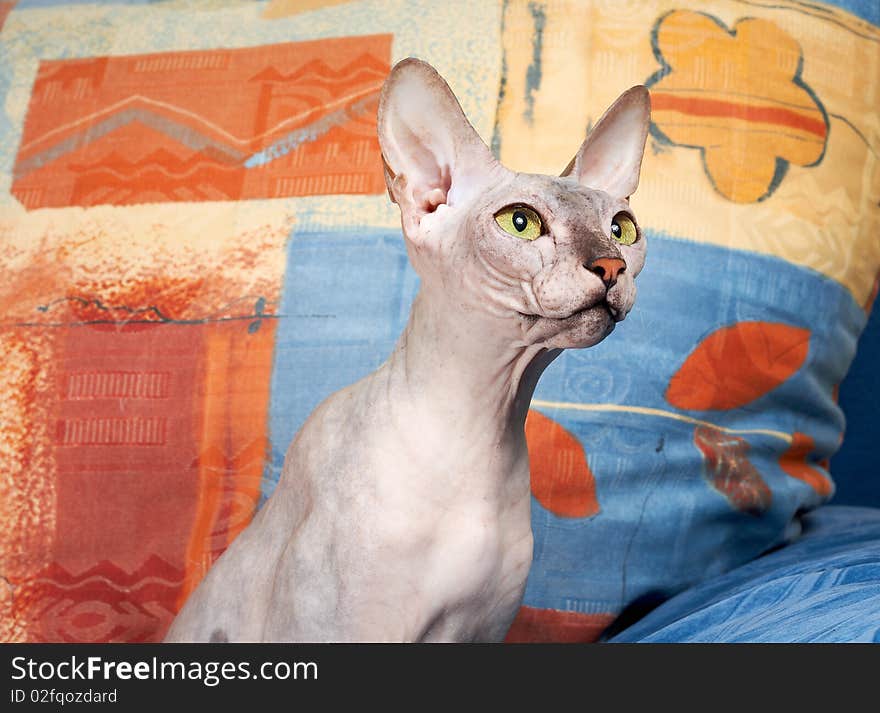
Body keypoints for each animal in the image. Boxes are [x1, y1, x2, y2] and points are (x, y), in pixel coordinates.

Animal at [165, 58, 648, 644]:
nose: (611, 266)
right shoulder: (345, 628)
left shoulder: (483, 630)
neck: (483, 431)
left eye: (623, 229)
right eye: (520, 222)